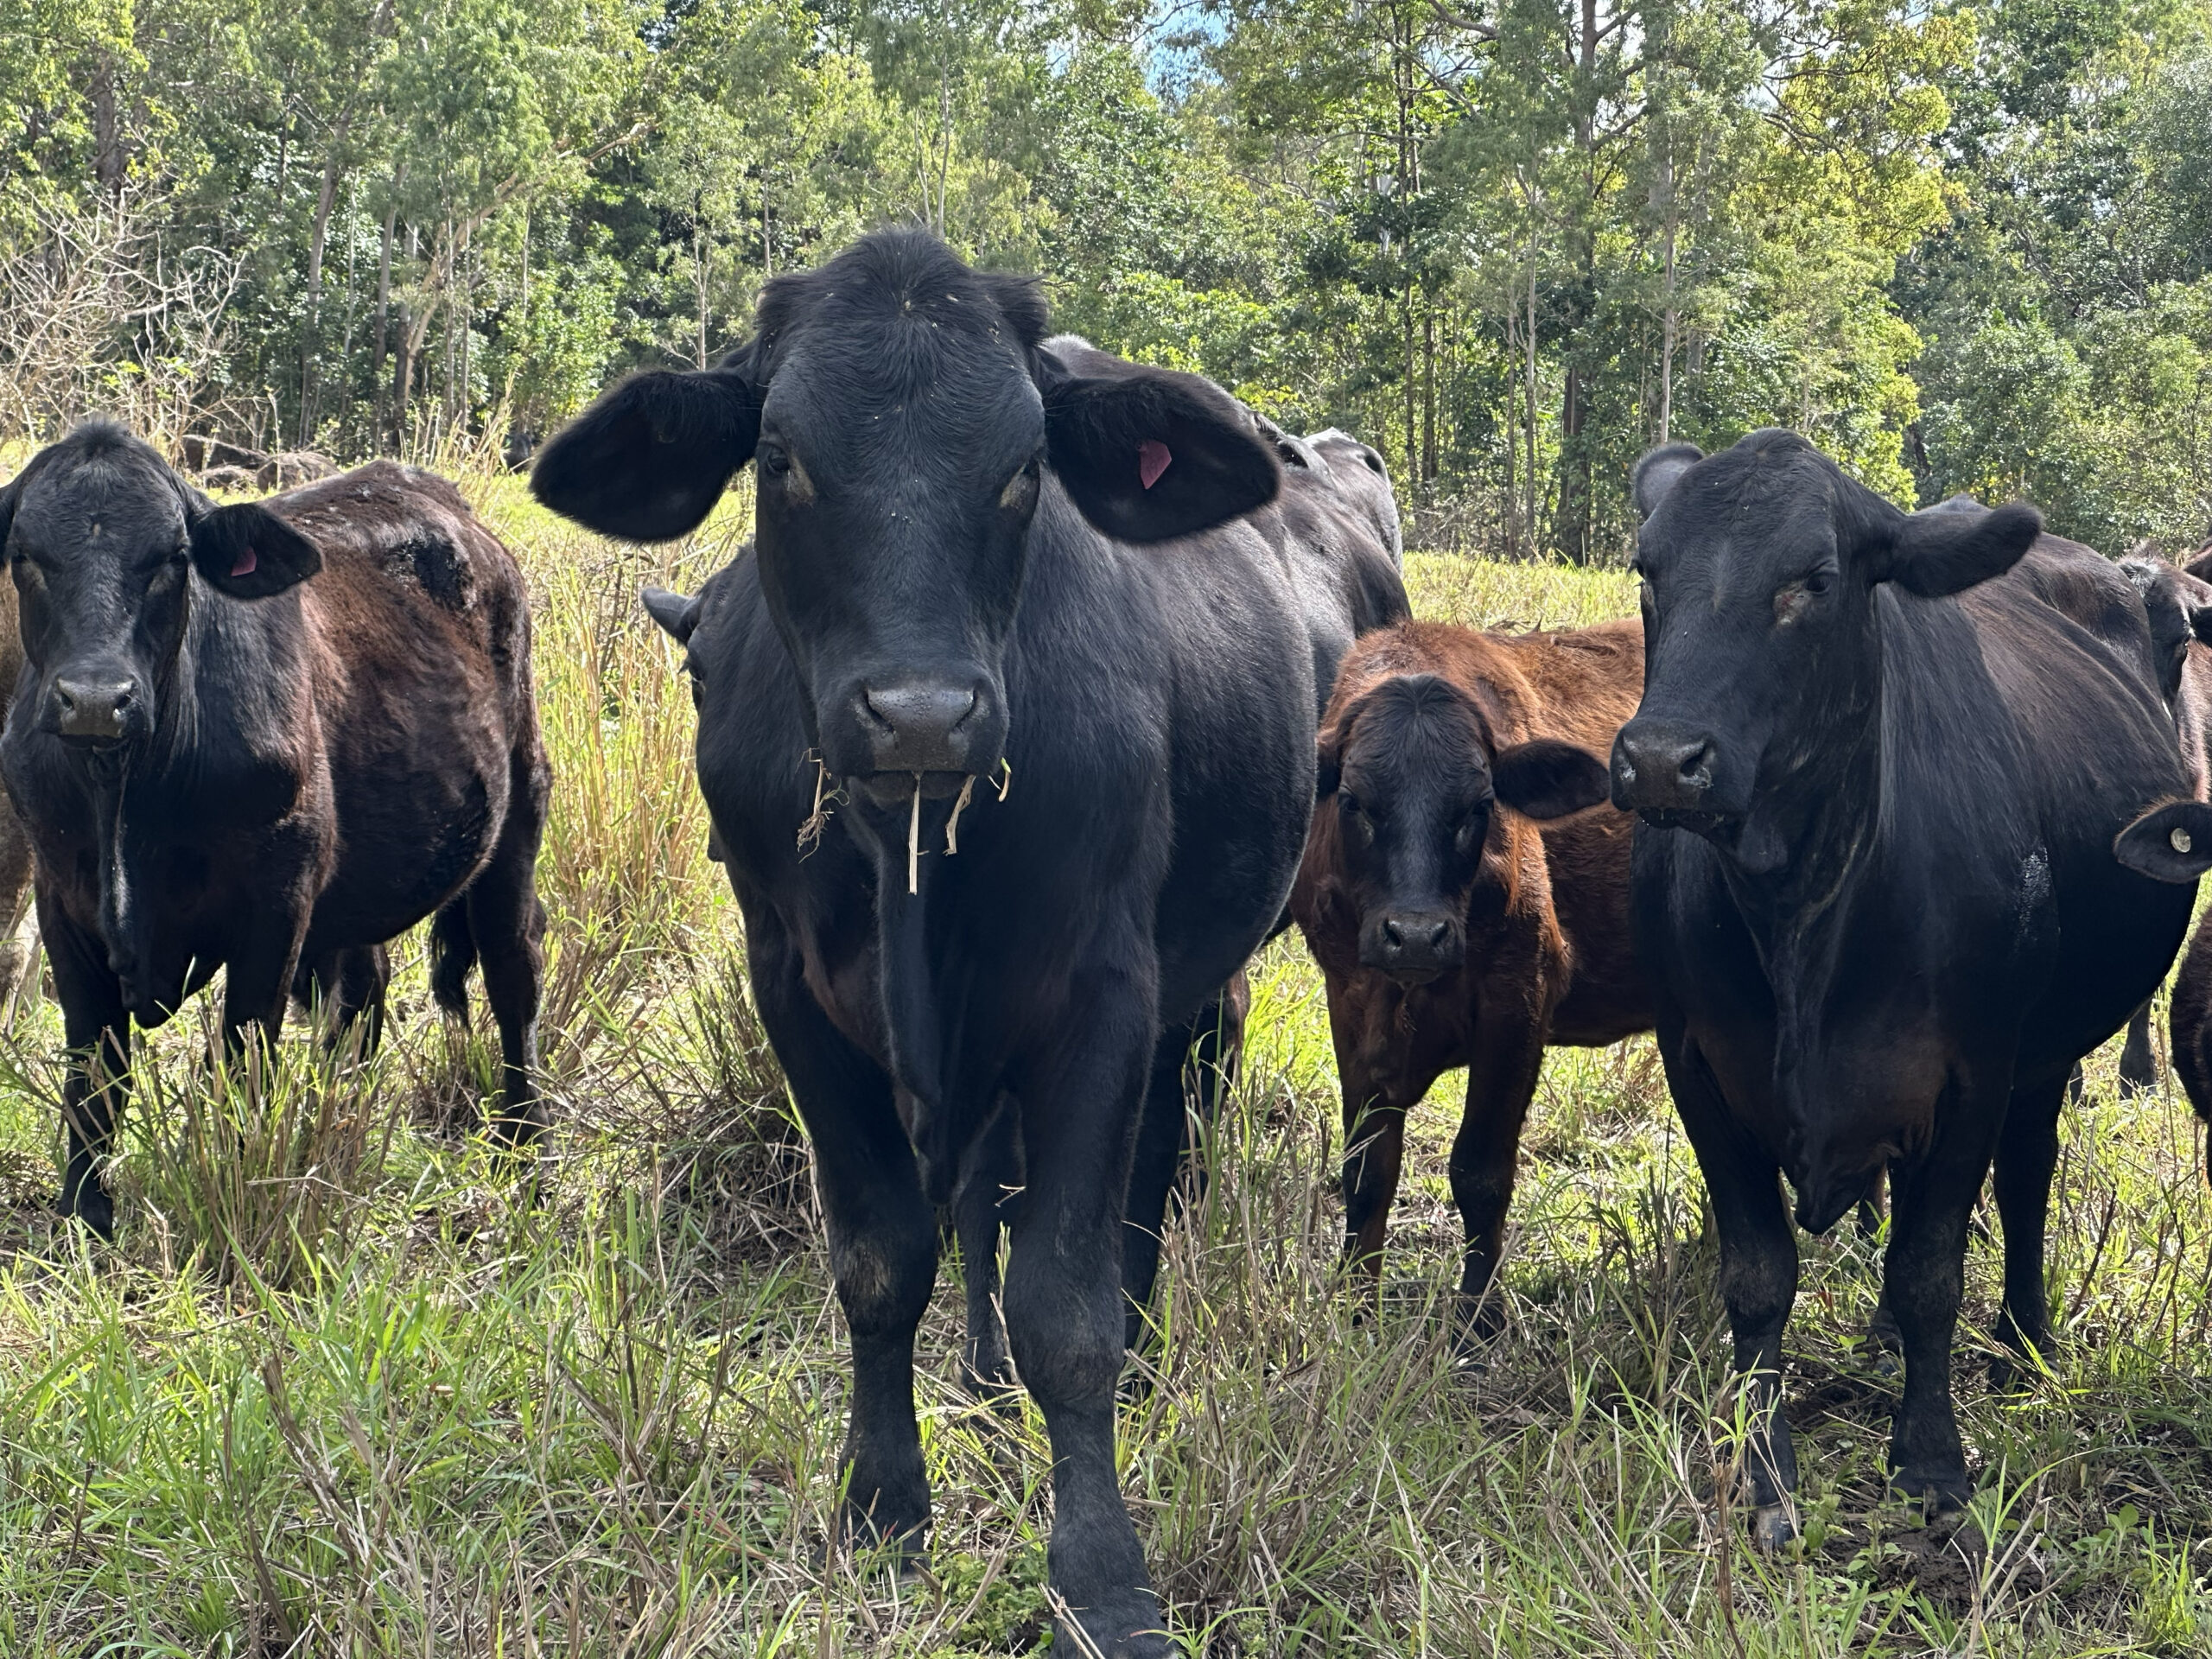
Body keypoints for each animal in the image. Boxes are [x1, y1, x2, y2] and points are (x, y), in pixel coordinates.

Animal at [0, 424, 550, 1239]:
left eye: (173, 558)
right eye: (25, 554)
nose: (96, 699)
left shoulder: (275, 902)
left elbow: (243, 1057)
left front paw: (239, 1188)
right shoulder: (60, 897)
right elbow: (95, 1071)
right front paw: (84, 1219)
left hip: (517, 817)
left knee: (514, 980)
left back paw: (527, 1156)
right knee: (362, 994)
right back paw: (339, 1123)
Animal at [533, 228, 1323, 1656]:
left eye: (1023, 466)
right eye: (780, 454)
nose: (918, 713)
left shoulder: (1103, 995)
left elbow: (1068, 1303)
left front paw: (1102, 1576)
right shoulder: (791, 990)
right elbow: (880, 1254)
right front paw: (885, 1506)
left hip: (1188, 998)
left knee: (1148, 1178)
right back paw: (982, 1385)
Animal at [1290, 618, 1644, 1346]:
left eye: (1480, 806)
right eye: (1355, 802)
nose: (1416, 934)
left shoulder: (1519, 999)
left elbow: (1479, 1172)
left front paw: (1478, 1323)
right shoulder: (1351, 999)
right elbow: (1367, 1170)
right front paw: (1356, 1310)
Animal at [1610, 429, 2198, 1546]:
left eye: (1814, 579)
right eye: (1647, 570)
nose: (1662, 761)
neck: (1799, 908)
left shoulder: (1973, 1071)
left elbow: (1930, 1268)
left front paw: (1929, 1460)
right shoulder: (1697, 1066)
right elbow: (1757, 1278)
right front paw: (1766, 1475)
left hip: (2041, 1060)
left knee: (2024, 1178)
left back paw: (2023, 1336)